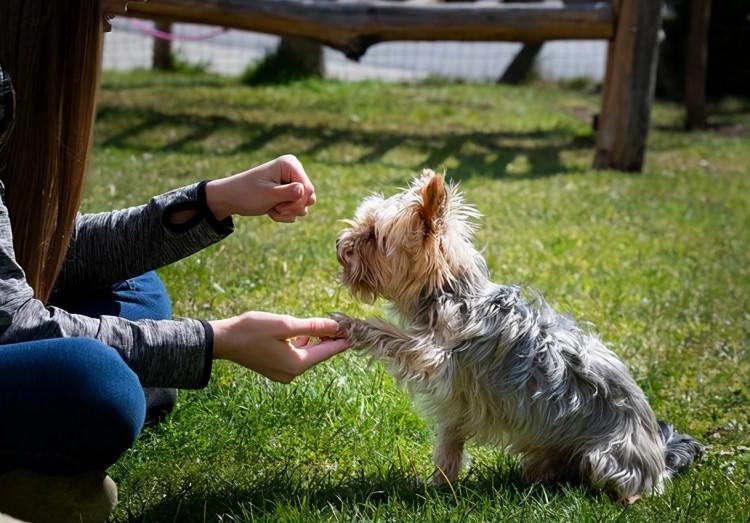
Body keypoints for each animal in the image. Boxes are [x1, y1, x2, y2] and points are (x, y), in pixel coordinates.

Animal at [334, 169, 704, 504]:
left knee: (627, 487)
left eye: (372, 235)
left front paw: (350, 324)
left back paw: (621, 498)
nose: (340, 244)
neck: (450, 292)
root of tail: (660, 457)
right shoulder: (457, 400)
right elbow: (449, 444)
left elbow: (392, 335)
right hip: (549, 447)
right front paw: (439, 485)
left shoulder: (433, 353)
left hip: (608, 457)